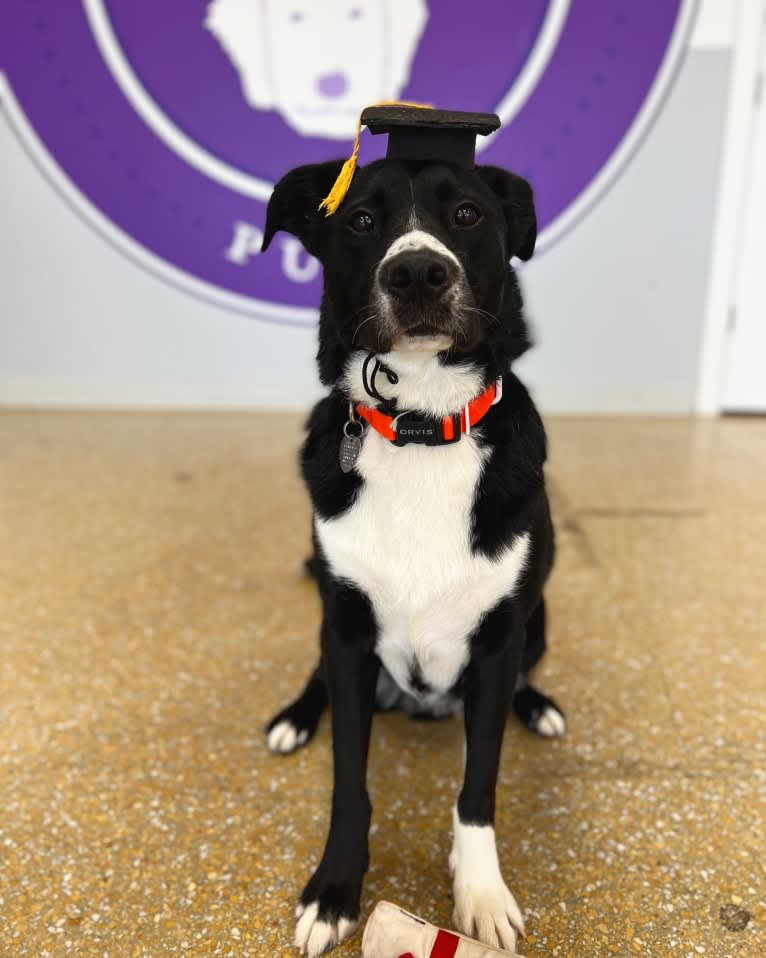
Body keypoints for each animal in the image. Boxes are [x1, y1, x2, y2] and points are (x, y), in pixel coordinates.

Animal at [260, 154, 568, 956]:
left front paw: (479, 892)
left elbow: (478, 785)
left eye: (466, 214)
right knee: (316, 684)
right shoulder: (346, 633)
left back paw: (538, 705)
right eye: (361, 220)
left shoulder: (495, 644)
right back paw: (293, 719)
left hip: (538, 617)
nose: (419, 274)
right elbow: (350, 781)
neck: (422, 424)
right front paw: (335, 890)